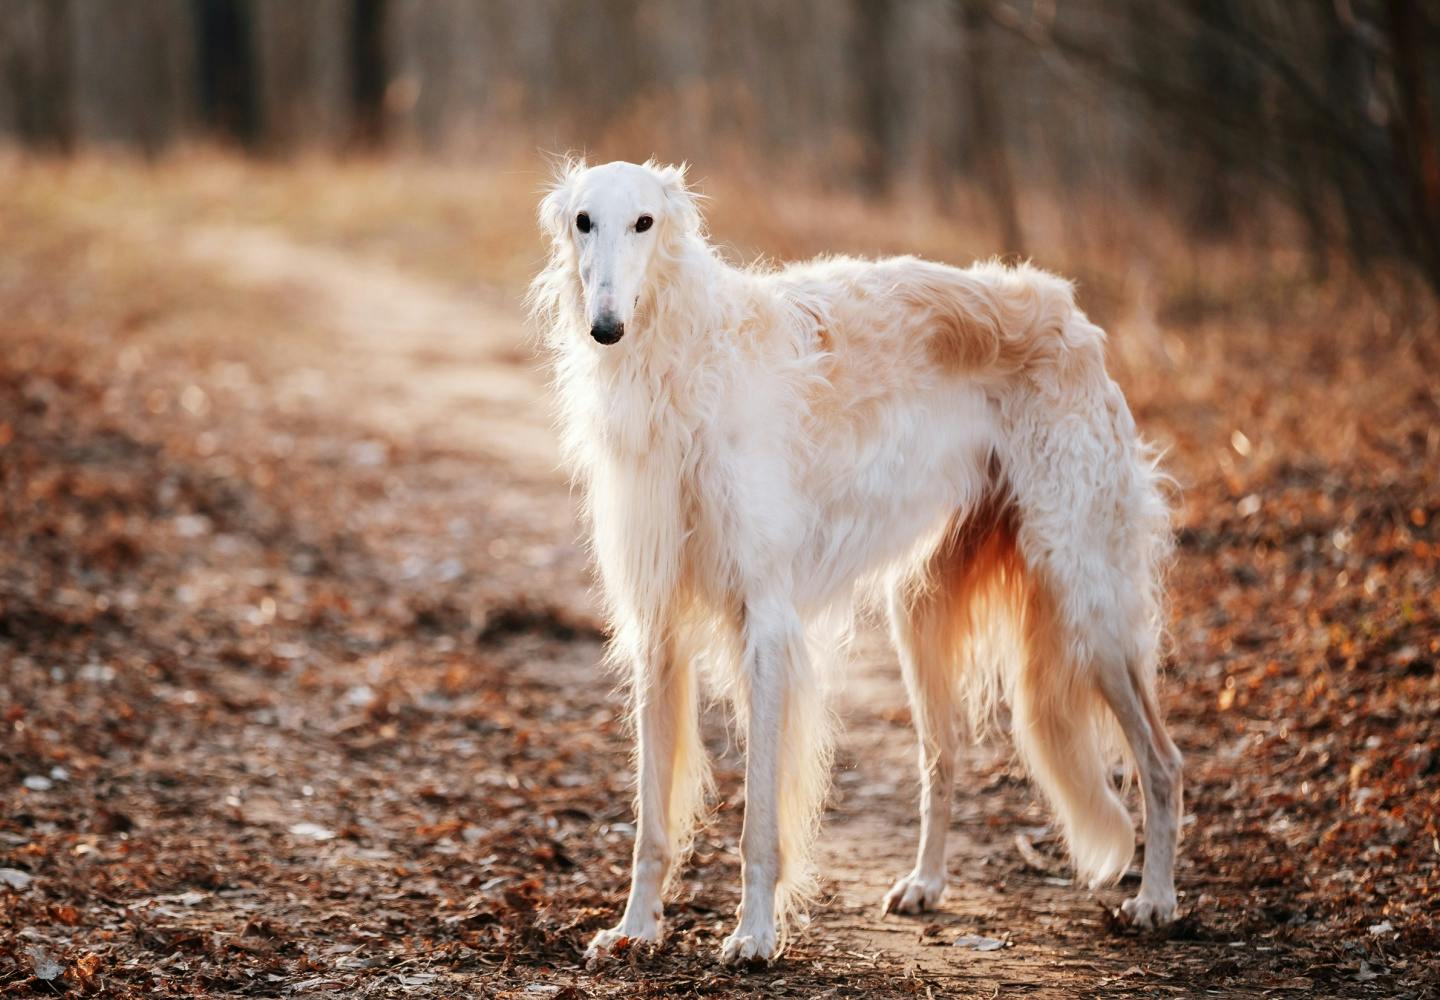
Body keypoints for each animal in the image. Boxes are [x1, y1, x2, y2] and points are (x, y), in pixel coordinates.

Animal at [529, 160, 1180, 968]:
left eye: (644, 222)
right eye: (583, 220)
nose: (606, 327)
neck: (683, 363)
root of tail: (1073, 316)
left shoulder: (765, 621)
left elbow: (760, 822)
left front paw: (754, 935)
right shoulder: (657, 626)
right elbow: (652, 819)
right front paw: (635, 929)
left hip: (1086, 596)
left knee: (1162, 760)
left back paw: (1157, 899)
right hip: (923, 612)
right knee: (943, 757)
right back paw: (926, 883)